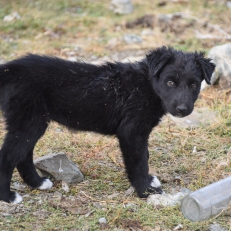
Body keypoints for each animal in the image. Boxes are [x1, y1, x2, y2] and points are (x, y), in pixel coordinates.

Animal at [0, 47, 215, 204]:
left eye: (194, 85)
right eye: (170, 82)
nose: (182, 109)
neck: (146, 84)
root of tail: (9, 70)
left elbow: (144, 157)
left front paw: (148, 183)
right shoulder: (131, 132)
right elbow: (139, 162)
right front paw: (145, 190)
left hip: (30, 122)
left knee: (23, 154)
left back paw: (37, 183)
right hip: (30, 121)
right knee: (8, 156)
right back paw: (8, 196)